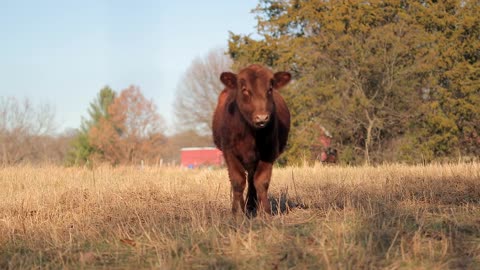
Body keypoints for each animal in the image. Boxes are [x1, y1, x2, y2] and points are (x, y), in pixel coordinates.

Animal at [212, 64, 290, 216]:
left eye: (270, 89)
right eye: (245, 90)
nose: (262, 118)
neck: (251, 136)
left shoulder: (269, 151)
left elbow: (261, 181)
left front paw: (265, 212)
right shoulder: (229, 151)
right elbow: (237, 181)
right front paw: (237, 212)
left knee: (252, 178)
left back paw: (251, 206)